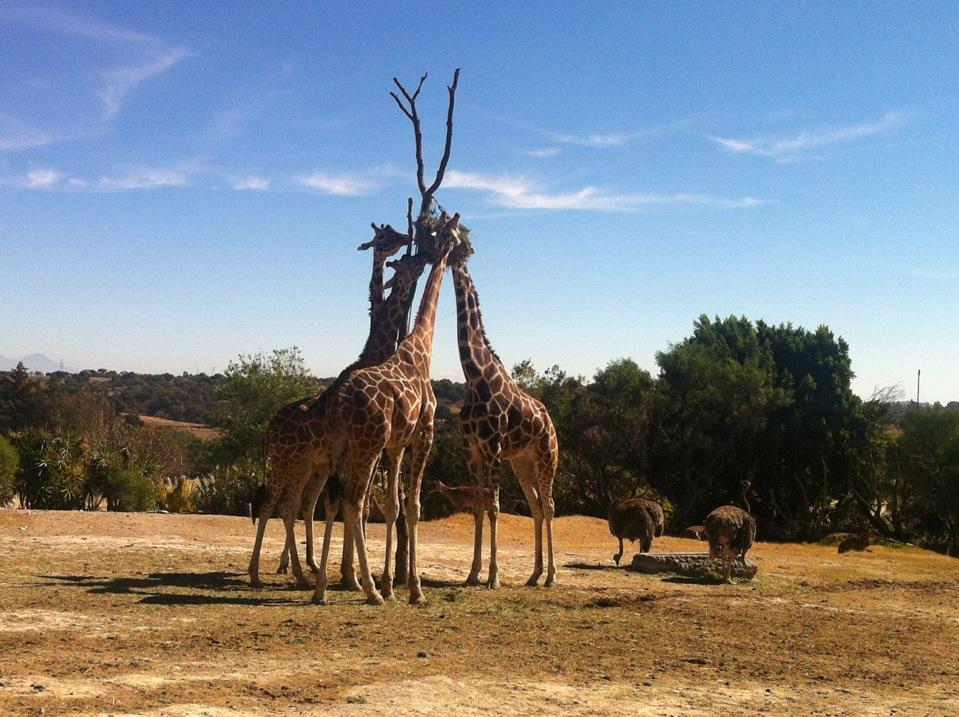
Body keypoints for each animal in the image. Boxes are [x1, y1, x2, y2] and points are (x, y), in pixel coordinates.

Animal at [248, 224, 424, 588]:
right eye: (387, 237)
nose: (411, 243)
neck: (372, 353)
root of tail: (269, 430)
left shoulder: (343, 459)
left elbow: (346, 505)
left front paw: (346, 572)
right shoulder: (354, 455)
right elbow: (347, 505)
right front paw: (351, 575)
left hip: (305, 465)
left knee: (294, 504)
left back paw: (301, 569)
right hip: (288, 463)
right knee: (273, 503)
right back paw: (262, 572)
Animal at [314, 211, 464, 604]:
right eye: (454, 233)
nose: (460, 247)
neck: (422, 348)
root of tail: (338, 401)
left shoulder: (396, 445)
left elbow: (394, 506)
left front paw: (392, 583)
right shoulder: (424, 434)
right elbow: (412, 506)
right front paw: (414, 589)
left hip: (341, 447)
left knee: (333, 500)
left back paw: (322, 588)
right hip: (366, 445)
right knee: (353, 502)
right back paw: (367, 590)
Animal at [452, 258, 560, 588]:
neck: (474, 377)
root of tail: (552, 425)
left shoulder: (493, 448)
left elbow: (494, 509)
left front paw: (493, 577)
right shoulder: (472, 449)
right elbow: (478, 506)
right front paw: (473, 573)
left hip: (547, 458)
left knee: (549, 506)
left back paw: (551, 576)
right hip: (523, 463)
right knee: (536, 507)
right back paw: (534, 574)